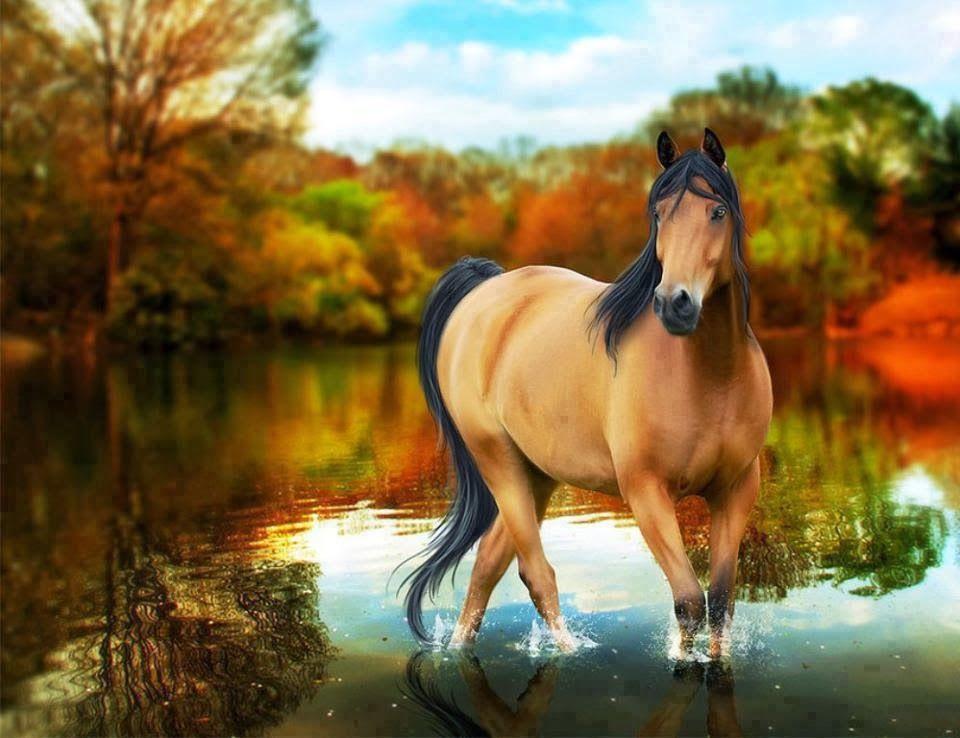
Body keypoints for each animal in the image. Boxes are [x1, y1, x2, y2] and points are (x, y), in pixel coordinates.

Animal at [400, 128, 772, 657]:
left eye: (717, 211)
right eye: (659, 215)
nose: (674, 304)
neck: (710, 376)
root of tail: (482, 293)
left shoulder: (736, 490)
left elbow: (720, 603)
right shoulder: (646, 493)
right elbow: (687, 601)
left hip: (535, 473)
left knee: (487, 566)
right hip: (498, 461)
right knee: (536, 575)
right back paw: (567, 650)